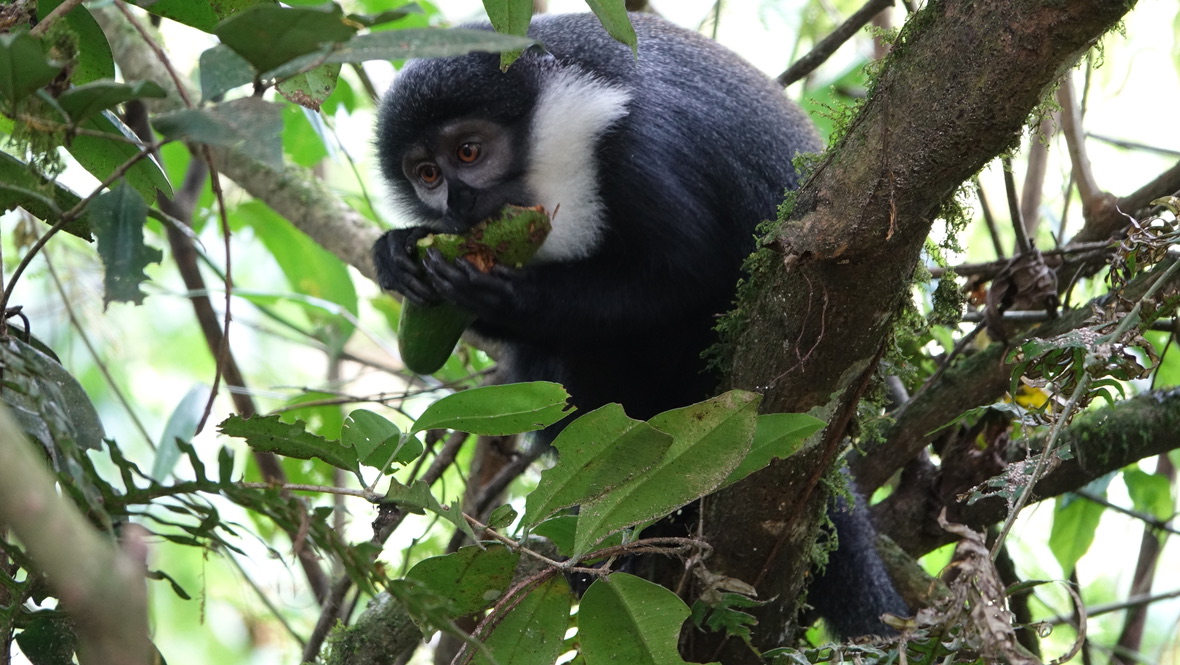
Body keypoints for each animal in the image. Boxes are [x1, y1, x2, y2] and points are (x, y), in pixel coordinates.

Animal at [371, 11, 907, 638]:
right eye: (427, 174)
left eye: (469, 152)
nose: (456, 204)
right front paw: (397, 252)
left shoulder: (638, 150)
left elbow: (688, 274)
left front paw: (504, 297)